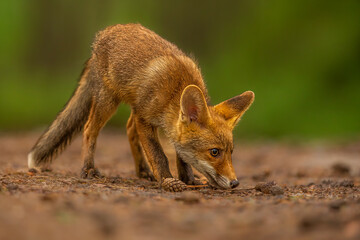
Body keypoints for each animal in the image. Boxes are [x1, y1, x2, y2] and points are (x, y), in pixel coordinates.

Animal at [27, 23, 253, 191]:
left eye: (231, 151)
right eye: (214, 152)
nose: (235, 183)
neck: (174, 91)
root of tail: (106, 32)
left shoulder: (163, 124)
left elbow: (181, 156)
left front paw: (188, 178)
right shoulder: (145, 119)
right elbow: (159, 155)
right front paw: (168, 180)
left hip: (131, 106)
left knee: (128, 129)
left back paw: (142, 171)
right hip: (108, 101)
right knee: (89, 128)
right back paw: (89, 169)